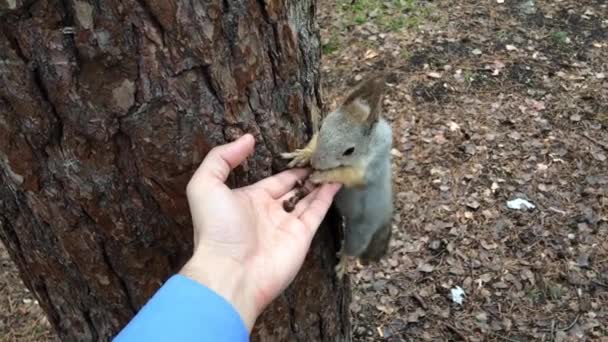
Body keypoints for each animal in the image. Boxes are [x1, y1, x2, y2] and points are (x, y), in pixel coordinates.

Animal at [282, 73, 394, 280]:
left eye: (349, 151)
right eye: (323, 125)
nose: (316, 163)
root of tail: (385, 217)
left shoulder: (371, 167)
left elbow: (348, 174)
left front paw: (322, 176)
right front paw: (305, 153)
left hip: (359, 233)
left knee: (352, 249)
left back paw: (343, 261)